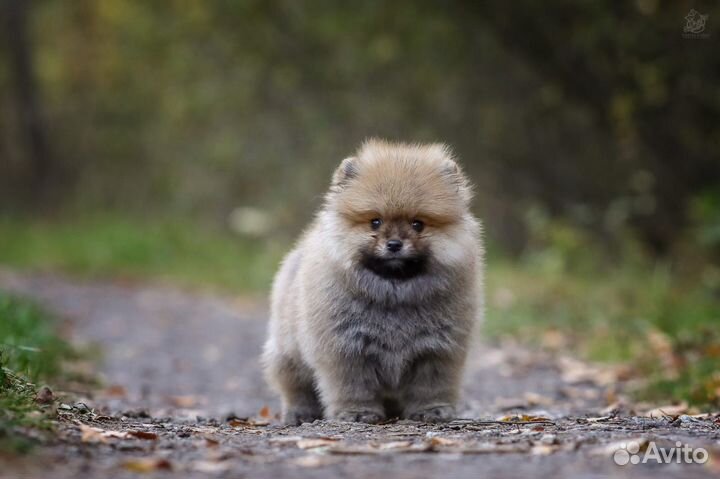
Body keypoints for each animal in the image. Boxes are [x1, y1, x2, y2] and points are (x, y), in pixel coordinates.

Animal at [262, 139, 484, 424]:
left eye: (418, 224)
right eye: (375, 222)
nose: (394, 244)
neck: (395, 294)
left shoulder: (437, 350)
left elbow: (431, 386)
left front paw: (432, 410)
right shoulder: (346, 350)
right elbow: (354, 386)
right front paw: (357, 412)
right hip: (288, 352)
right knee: (295, 385)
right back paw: (300, 413)